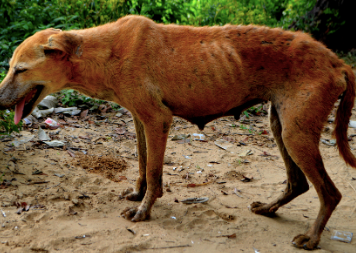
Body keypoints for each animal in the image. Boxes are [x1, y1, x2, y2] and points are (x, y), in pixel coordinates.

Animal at [0, 14, 356, 249]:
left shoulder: (158, 119)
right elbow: (143, 166)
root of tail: (337, 62)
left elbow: (154, 173)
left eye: (20, 70)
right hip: (280, 125)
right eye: (10, 67)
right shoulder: (139, 119)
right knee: (298, 183)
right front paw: (139, 195)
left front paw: (144, 211)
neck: (101, 52)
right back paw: (270, 209)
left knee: (331, 193)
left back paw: (312, 238)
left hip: (296, 134)